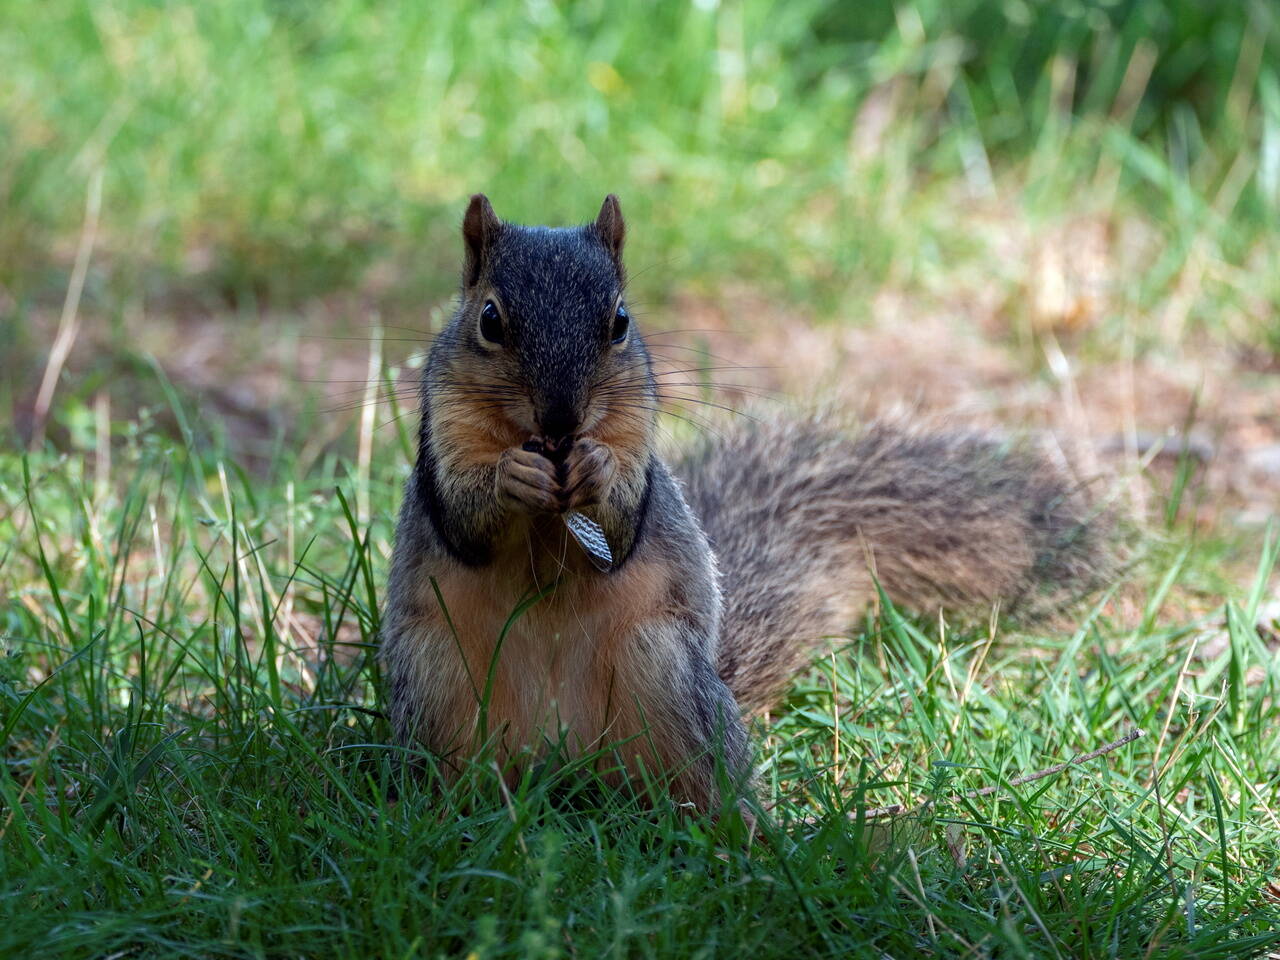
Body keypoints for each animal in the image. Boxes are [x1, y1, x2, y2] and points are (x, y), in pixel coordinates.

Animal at [378, 193, 1111, 814]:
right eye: (490, 320)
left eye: (620, 322)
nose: (561, 420)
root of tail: (562, 767)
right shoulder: (443, 436)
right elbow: (463, 517)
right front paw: (513, 476)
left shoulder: (636, 439)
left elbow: (623, 524)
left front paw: (597, 468)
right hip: (439, 684)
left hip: (663, 670)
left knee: (700, 789)